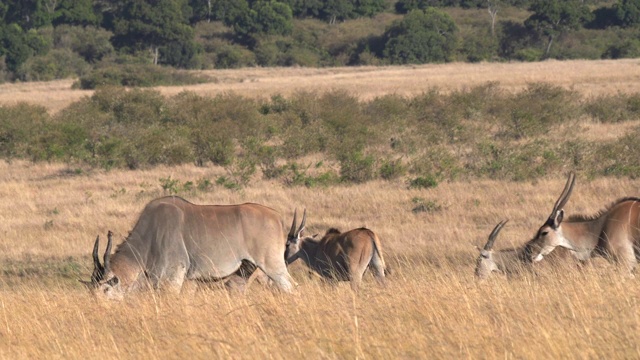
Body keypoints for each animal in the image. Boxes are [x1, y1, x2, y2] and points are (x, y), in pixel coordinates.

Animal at [80, 195, 298, 300]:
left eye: (105, 290)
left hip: (273, 266)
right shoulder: (189, 281)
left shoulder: (173, 278)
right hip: (243, 273)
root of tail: (277, 216)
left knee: (291, 287)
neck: (149, 237)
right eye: (91, 293)